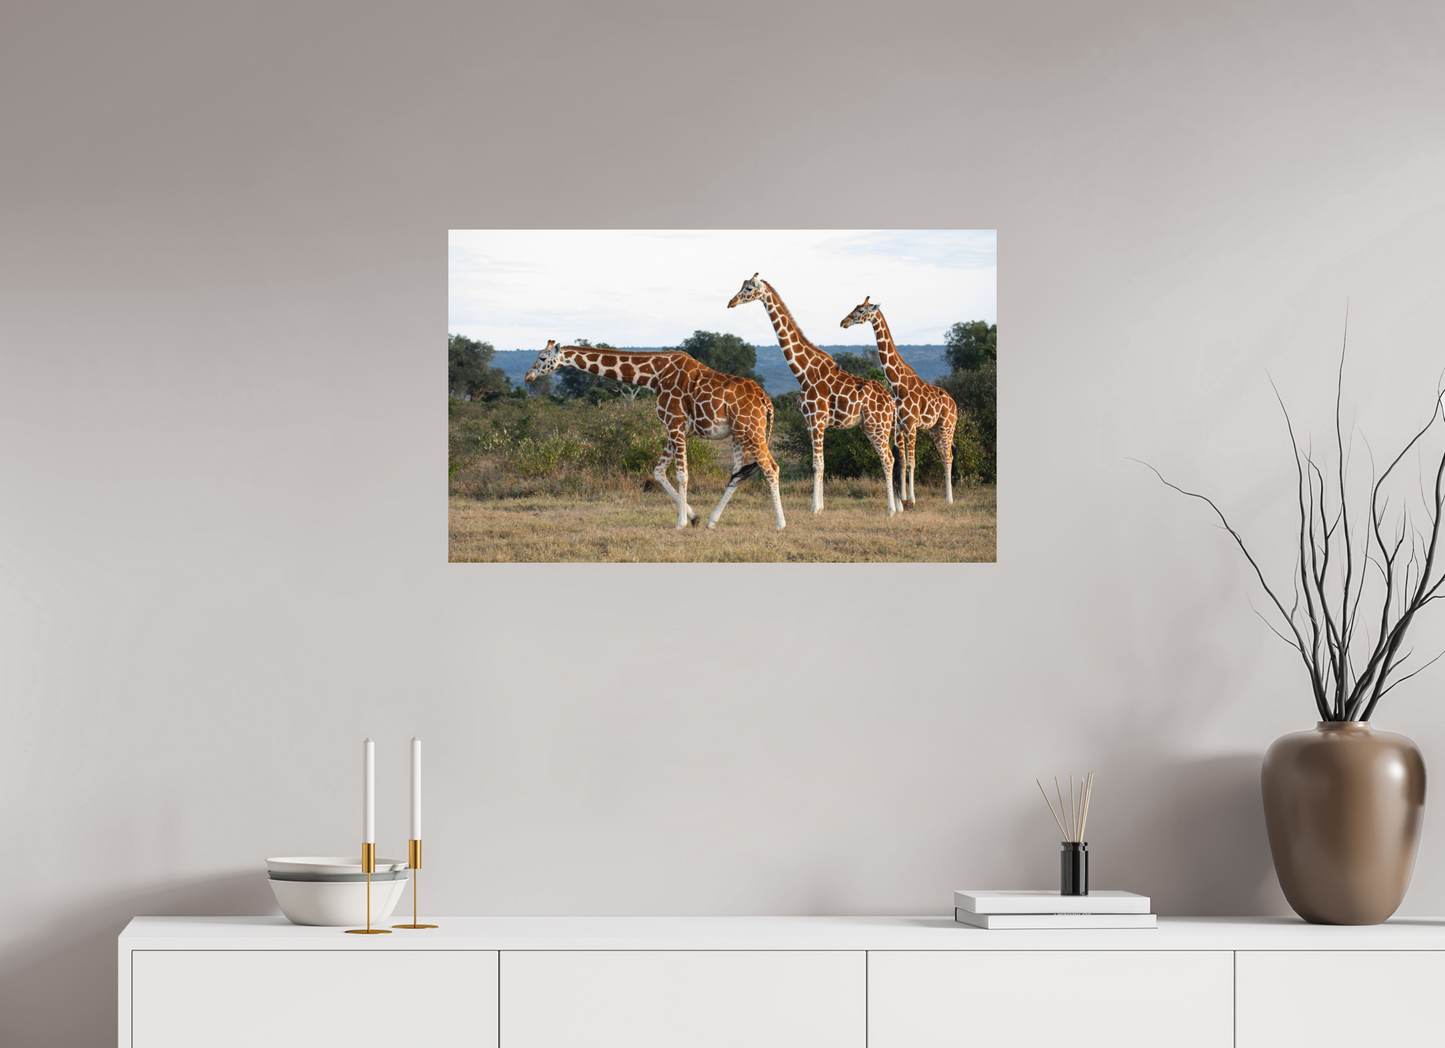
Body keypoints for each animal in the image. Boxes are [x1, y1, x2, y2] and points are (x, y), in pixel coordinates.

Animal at [524, 341, 786, 530]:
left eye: (543, 358)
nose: (528, 376)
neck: (654, 375)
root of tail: (766, 399)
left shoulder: (675, 424)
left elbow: (682, 474)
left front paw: (680, 523)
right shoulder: (674, 429)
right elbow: (658, 472)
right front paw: (694, 518)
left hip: (751, 430)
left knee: (770, 468)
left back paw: (780, 524)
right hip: (738, 433)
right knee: (738, 473)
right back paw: (712, 521)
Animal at [727, 274, 897, 516]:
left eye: (749, 288)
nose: (731, 302)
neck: (803, 371)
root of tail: (891, 402)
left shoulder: (816, 419)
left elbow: (818, 464)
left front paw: (814, 509)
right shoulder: (809, 422)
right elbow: (819, 463)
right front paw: (820, 506)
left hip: (878, 425)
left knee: (888, 458)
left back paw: (892, 510)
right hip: (871, 426)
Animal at [840, 297, 959, 506]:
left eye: (861, 310)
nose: (843, 322)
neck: (897, 383)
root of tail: (954, 404)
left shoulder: (911, 425)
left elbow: (911, 462)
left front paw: (911, 499)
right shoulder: (898, 426)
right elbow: (902, 461)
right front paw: (902, 498)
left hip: (947, 425)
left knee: (949, 456)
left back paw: (949, 499)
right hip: (934, 429)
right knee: (944, 456)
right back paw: (946, 497)